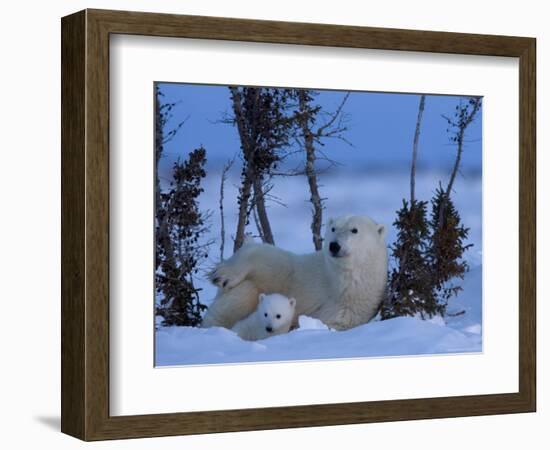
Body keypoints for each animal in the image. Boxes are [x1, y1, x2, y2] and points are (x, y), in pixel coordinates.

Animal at [202, 214, 388, 330]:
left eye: (354, 230)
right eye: (333, 229)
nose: (334, 245)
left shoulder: (350, 309)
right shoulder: (302, 273)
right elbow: (272, 259)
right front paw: (222, 275)